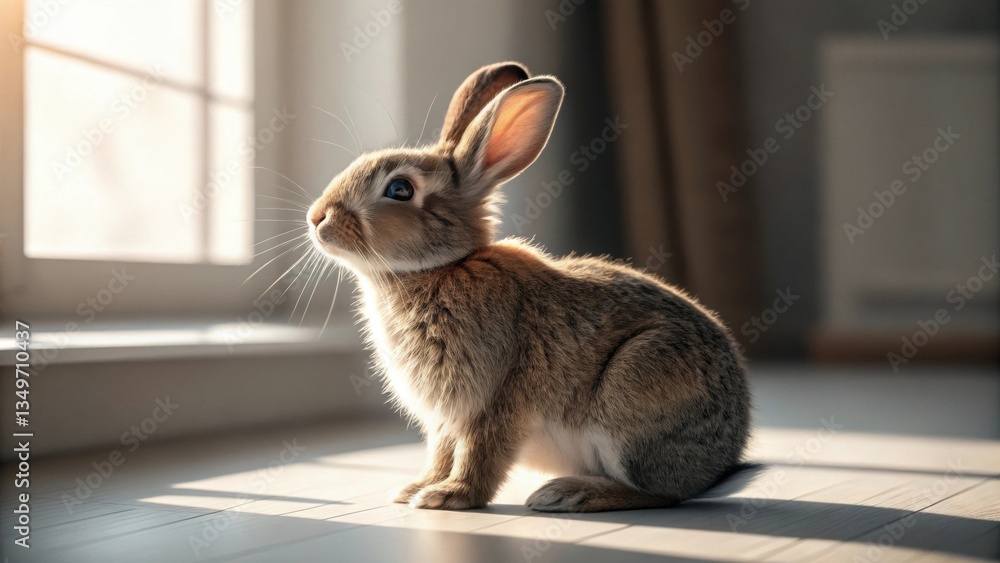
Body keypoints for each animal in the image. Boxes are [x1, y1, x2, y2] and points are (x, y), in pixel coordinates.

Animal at [306, 62, 755, 512]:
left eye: (400, 189)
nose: (317, 217)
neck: (438, 268)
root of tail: (720, 463)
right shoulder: (447, 418)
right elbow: (442, 452)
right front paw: (416, 489)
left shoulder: (497, 398)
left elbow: (481, 453)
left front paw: (449, 496)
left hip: (632, 392)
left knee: (660, 493)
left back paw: (567, 494)